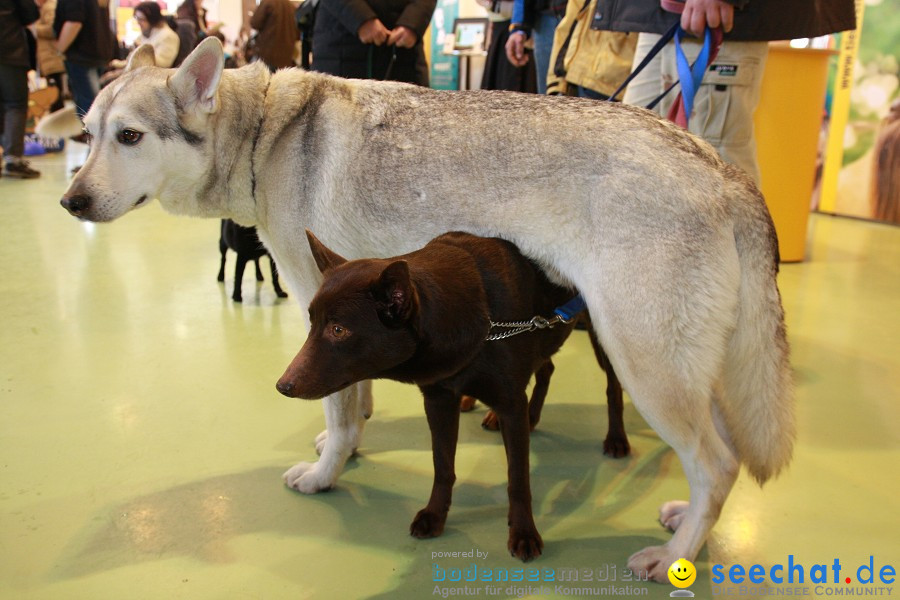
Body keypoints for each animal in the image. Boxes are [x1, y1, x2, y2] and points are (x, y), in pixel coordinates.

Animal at [278, 230, 596, 556]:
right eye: (312, 322)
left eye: (338, 330)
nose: (282, 385)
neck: (482, 320)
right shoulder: (439, 401)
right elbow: (443, 467)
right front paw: (435, 515)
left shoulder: (511, 405)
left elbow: (518, 479)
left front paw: (523, 532)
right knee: (546, 368)